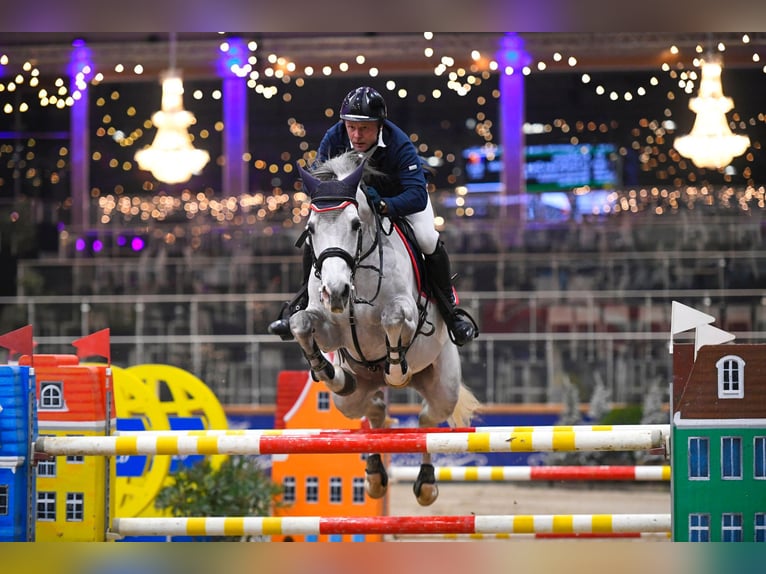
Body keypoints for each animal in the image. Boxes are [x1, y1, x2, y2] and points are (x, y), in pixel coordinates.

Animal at [292, 153, 484, 508]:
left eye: (355, 224)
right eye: (310, 229)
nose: (336, 292)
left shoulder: (404, 313)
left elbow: (392, 319)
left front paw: (396, 371)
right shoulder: (331, 330)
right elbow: (302, 323)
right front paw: (325, 369)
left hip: (443, 387)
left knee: (425, 422)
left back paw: (426, 484)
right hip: (350, 400)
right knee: (374, 413)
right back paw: (374, 475)